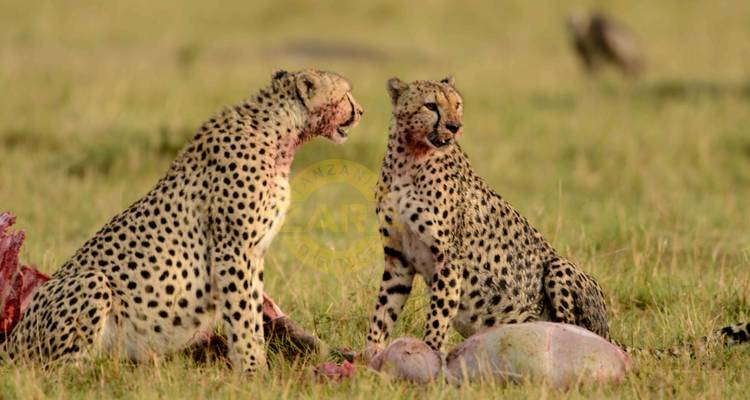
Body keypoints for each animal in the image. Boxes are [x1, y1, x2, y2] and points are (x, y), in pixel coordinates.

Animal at [3, 69, 364, 372]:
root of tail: (12, 338)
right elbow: (242, 314)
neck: (280, 134)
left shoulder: (254, 253)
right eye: (346, 94)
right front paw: (254, 371)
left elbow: (252, 308)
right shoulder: (234, 249)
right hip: (92, 283)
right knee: (58, 370)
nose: (361, 111)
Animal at [364, 76, 748, 358]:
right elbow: (382, 313)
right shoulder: (398, 258)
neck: (409, 158)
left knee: (572, 328)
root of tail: (610, 335)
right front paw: (370, 360)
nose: (456, 126)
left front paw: (429, 358)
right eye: (431, 105)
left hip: (559, 266)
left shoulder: (448, 259)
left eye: (456, 104)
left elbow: (438, 316)